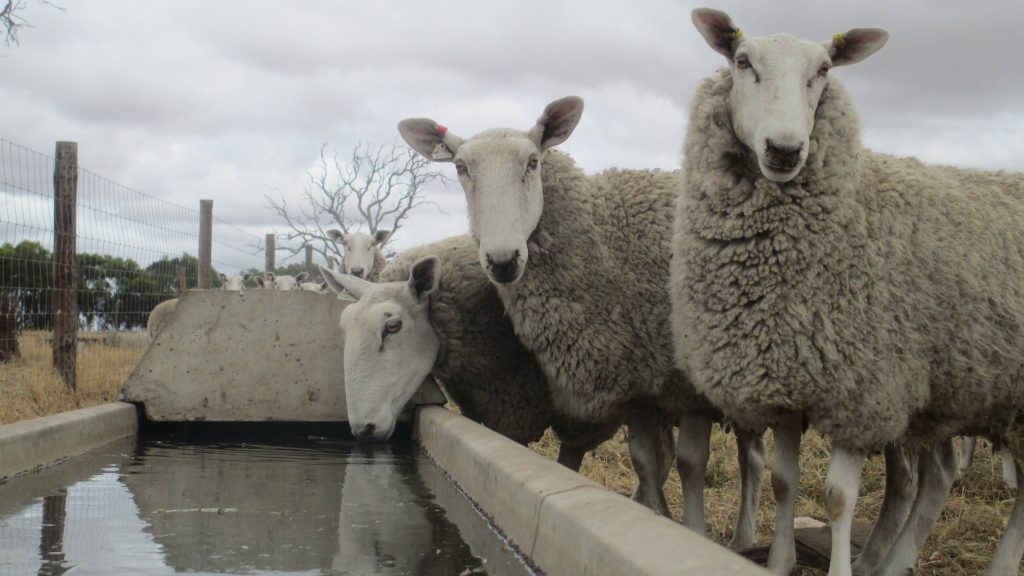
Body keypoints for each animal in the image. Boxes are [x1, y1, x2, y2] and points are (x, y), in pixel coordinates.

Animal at [397, 98, 768, 545]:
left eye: (533, 162)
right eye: (460, 168)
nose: (503, 261)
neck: (605, 239)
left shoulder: (685, 382)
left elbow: (690, 464)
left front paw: (691, 531)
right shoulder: (635, 381)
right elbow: (645, 461)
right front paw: (654, 515)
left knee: (754, 458)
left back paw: (746, 539)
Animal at [673, 9, 1024, 575]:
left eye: (824, 71)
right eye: (743, 61)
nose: (785, 150)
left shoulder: (863, 390)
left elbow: (837, 498)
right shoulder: (790, 379)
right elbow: (783, 481)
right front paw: (779, 561)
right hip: (950, 395)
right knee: (940, 476)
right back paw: (893, 560)